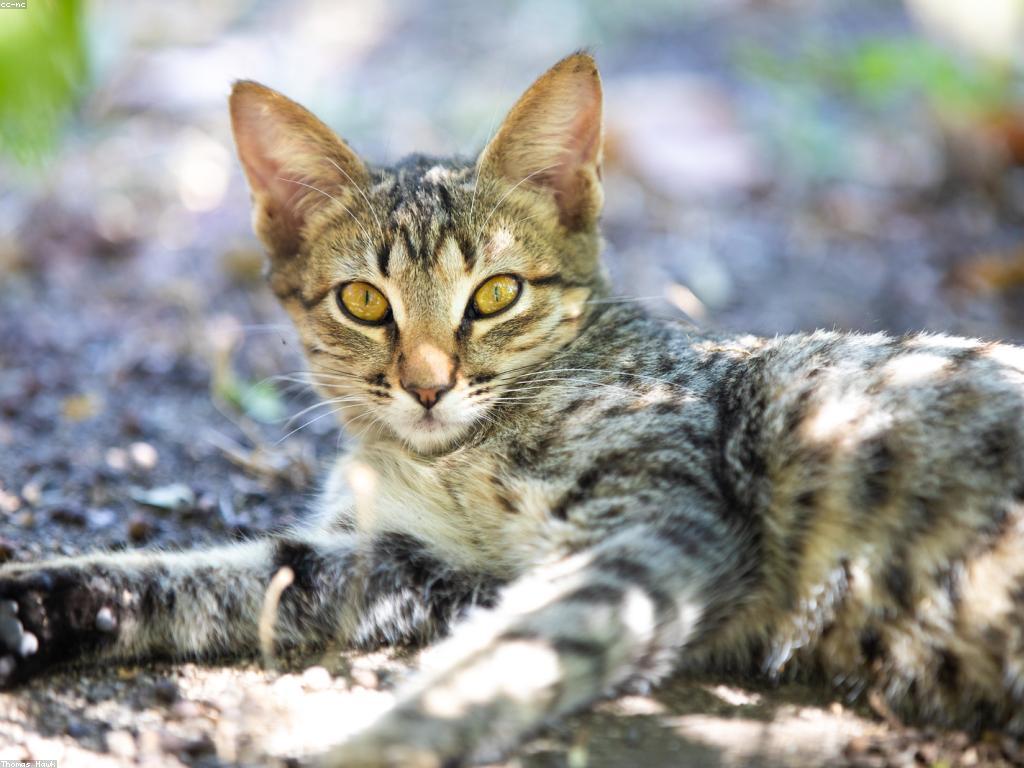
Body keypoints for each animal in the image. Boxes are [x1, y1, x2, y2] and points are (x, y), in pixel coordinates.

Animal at [3, 51, 1024, 767]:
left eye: (495, 296)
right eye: (363, 302)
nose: (427, 383)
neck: (438, 460)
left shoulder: (661, 524)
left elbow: (510, 657)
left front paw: (378, 747)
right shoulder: (419, 564)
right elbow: (234, 576)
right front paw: (45, 604)